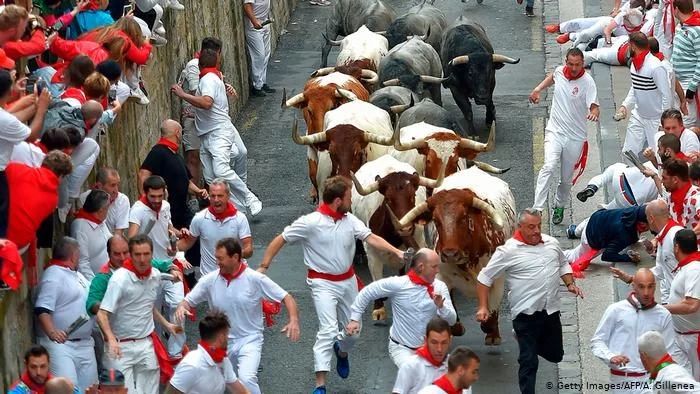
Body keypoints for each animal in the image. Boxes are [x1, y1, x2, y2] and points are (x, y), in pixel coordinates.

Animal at [392, 167, 516, 344]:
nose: (450, 254)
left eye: (464, 218)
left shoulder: (497, 280)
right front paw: (456, 326)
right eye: (436, 220)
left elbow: (490, 316)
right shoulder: (441, 275)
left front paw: (493, 334)